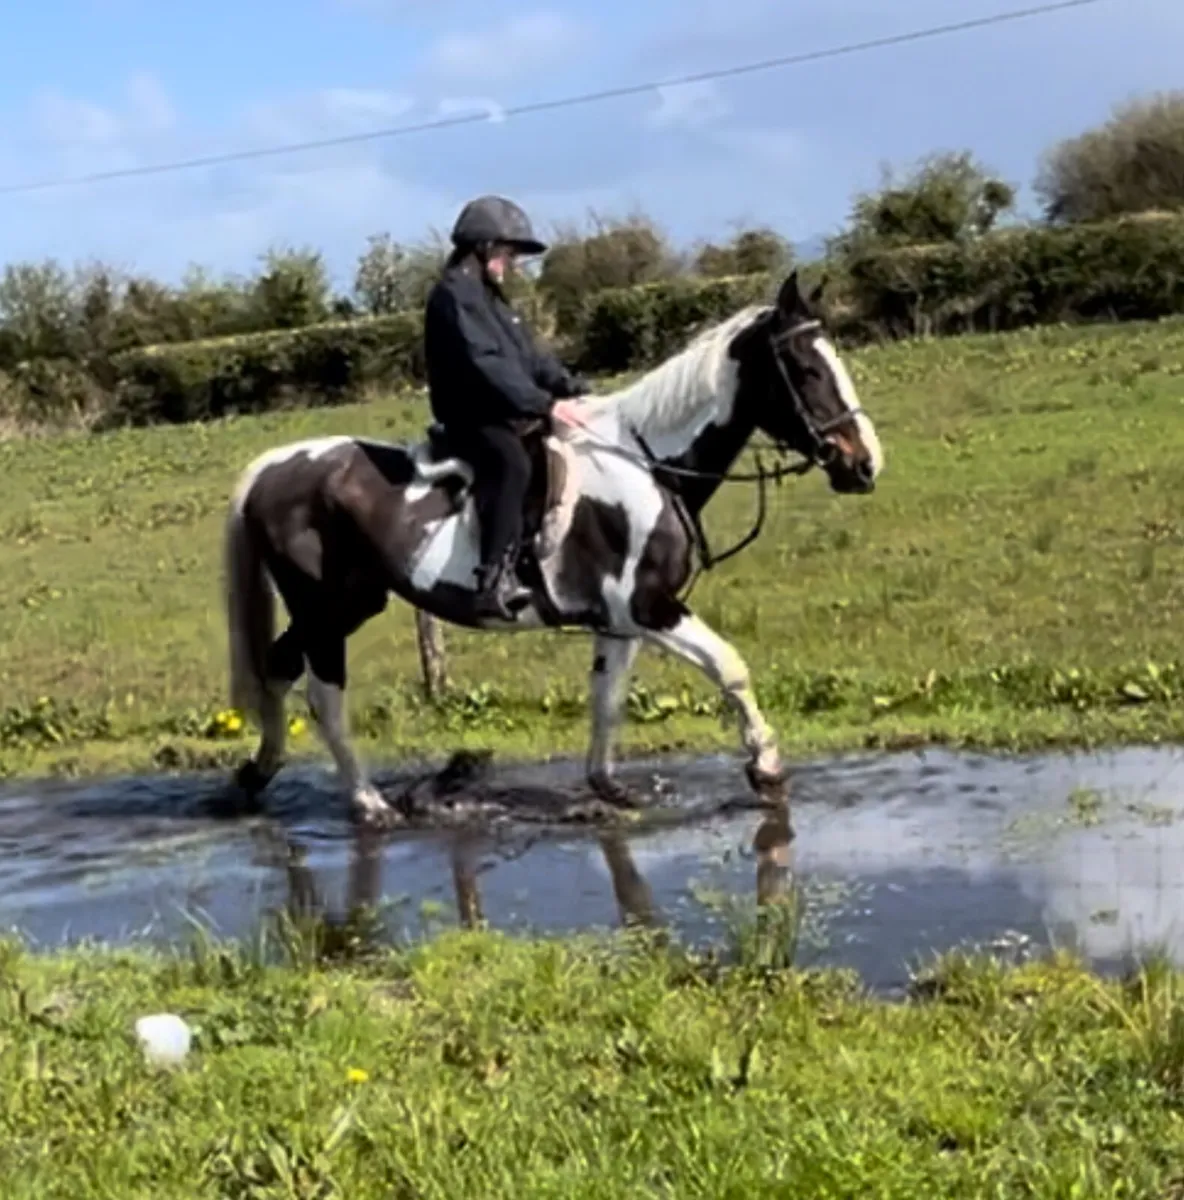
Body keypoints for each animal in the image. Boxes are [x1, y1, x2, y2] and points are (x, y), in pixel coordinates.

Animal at [222, 269, 883, 831]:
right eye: (805, 368)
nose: (864, 464)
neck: (647, 465)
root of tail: (272, 468)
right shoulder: (651, 609)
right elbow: (730, 666)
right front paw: (766, 769)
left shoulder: (618, 623)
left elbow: (606, 701)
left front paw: (609, 788)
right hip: (327, 611)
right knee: (323, 695)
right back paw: (366, 802)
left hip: (345, 605)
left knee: (277, 669)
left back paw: (257, 773)